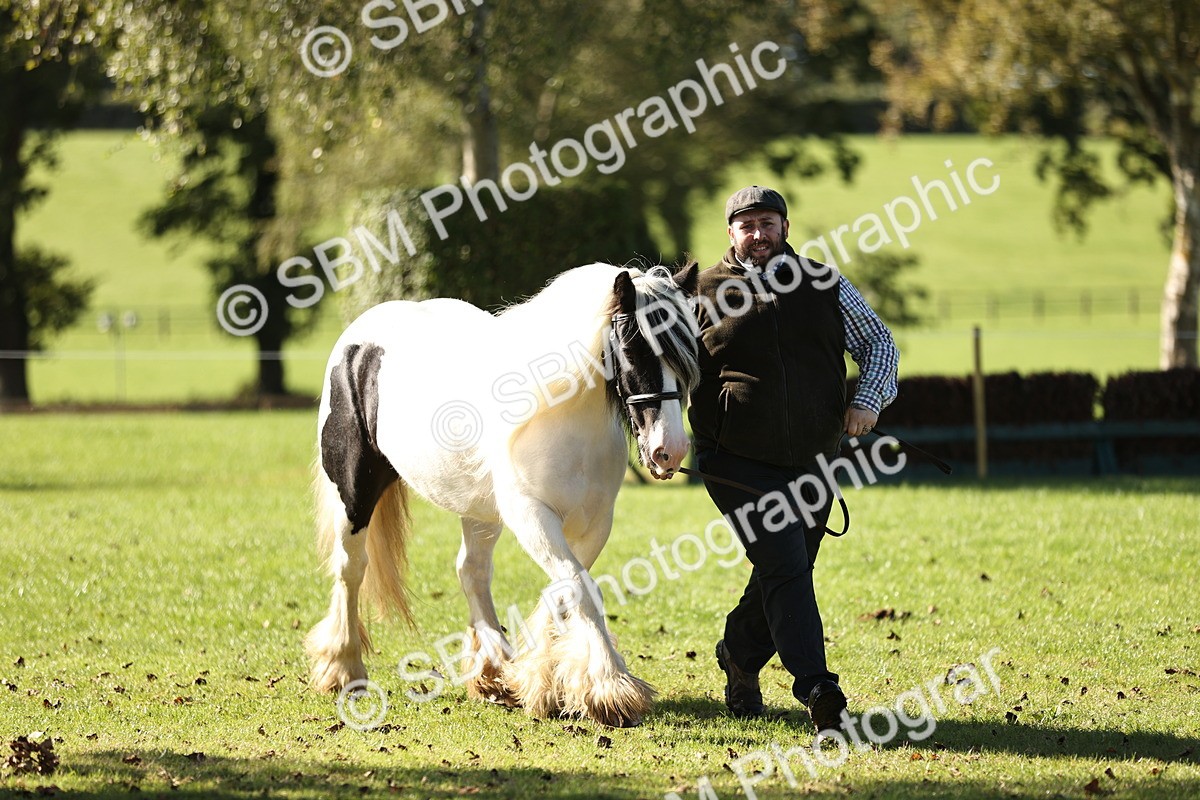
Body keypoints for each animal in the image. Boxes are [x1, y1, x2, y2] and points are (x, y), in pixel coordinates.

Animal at [304, 261, 700, 727]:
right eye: (635, 347)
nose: (670, 450)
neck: (567, 421)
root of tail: (358, 338)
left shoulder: (595, 522)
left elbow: (565, 590)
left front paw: (542, 680)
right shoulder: (530, 514)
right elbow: (578, 588)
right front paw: (611, 689)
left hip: (478, 512)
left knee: (471, 571)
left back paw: (492, 673)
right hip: (354, 492)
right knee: (352, 569)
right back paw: (344, 669)